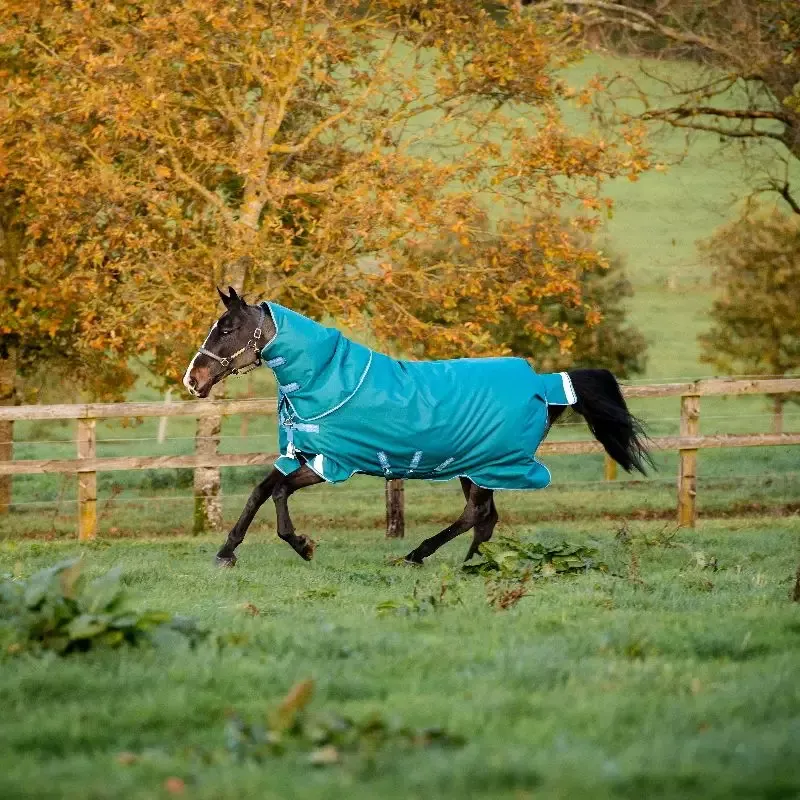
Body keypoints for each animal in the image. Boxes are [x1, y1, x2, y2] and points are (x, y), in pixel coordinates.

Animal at [184, 286, 651, 567]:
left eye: (227, 328)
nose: (193, 379)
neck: (328, 379)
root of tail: (545, 384)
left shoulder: (332, 462)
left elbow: (277, 491)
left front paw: (298, 545)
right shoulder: (305, 455)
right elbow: (263, 490)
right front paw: (230, 551)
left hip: (487, 465)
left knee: (476, 514)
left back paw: (420, 555)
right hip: (474, 466)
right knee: (486, 517)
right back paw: (471, 565)